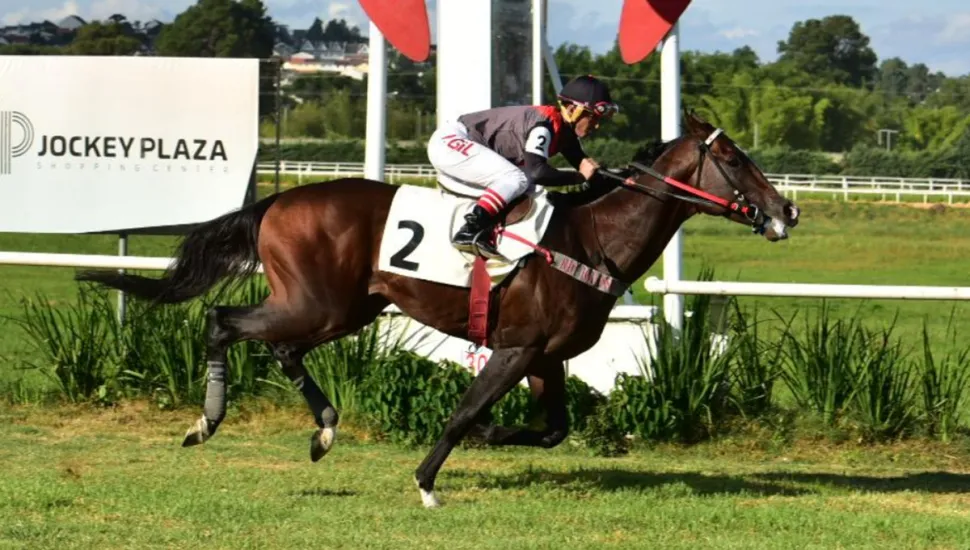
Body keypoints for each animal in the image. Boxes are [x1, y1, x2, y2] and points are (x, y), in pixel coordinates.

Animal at [75, 110, 800, 508]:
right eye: (733, 158)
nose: (787, 210)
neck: (591, 239)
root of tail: (278, 200)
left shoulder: (545, 357)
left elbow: (550, 430)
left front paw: (495, 436)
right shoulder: (515, 349)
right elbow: (463, 412)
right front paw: (428, 480)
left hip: (342, 309)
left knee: (278, 345)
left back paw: (324, 429)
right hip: (318, 303)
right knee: (224, 322)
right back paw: (207, 421)